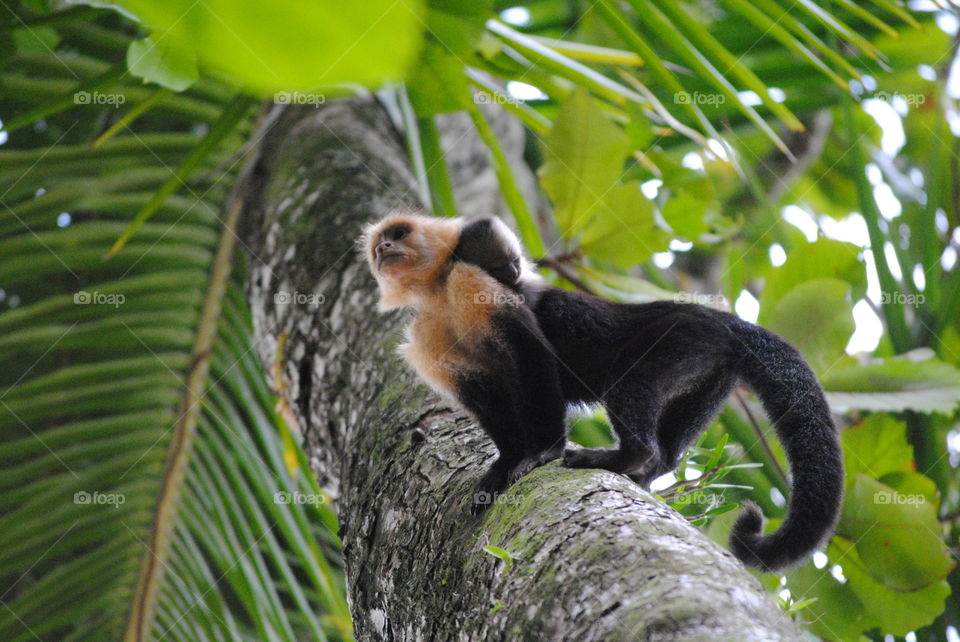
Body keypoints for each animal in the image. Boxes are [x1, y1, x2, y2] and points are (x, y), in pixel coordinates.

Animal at [364, 211, 843, 572]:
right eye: (379, 244)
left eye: (398, 235)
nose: (384, 249)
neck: (437, 290)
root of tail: (722, 320)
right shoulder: (426, 334)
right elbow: (483, 395)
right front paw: (504, 465)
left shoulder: (469, 281)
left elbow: (530, 354)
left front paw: (541, 451)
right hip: (713, 369)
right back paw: (650, 469)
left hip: (681, 336)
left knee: (625, 385)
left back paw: (630, 456)